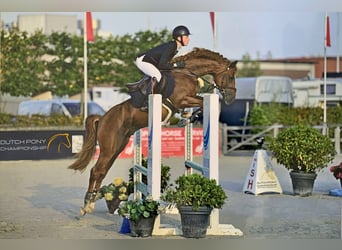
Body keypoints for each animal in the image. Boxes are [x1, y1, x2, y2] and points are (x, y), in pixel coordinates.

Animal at [68, 47, 236, 215]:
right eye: (231, 76)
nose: (231, 98)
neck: (187, 73)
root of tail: (102, 118)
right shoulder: (182, 99)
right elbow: (203, 102)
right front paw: (186, 118)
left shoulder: (186, 100)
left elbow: (201, 104)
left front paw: (186, 118)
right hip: (109, 148)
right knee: (96, 170)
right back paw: (87, 203)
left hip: (117, 147)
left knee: (102, 170)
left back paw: (92, 201)